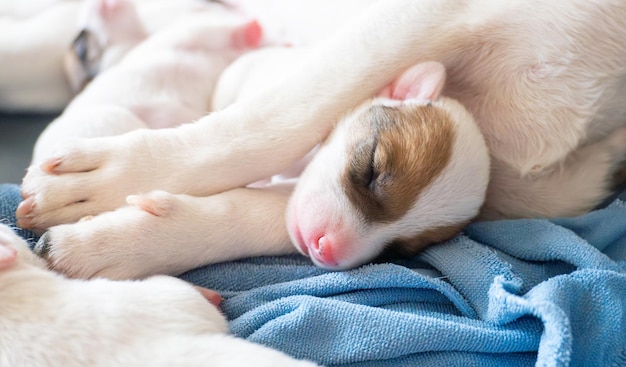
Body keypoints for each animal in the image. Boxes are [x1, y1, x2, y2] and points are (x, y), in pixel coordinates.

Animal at [17, 0, 624, 276]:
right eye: (372, 169)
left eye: (406, 251)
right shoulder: (424, 18)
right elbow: (276, 120)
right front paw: (113, 182)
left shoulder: (539, 183)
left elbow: (270, 212)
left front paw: (134, 241)